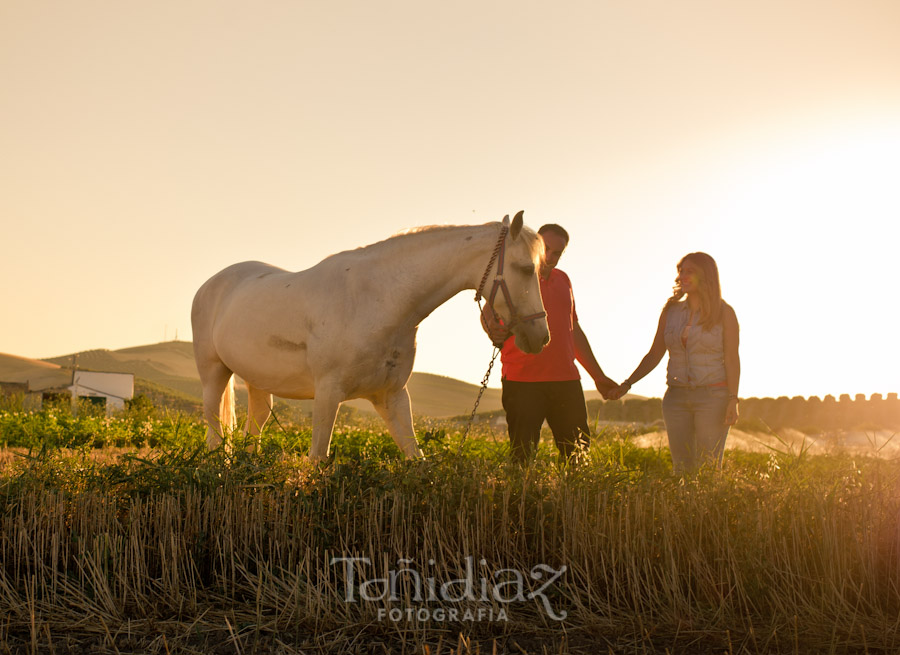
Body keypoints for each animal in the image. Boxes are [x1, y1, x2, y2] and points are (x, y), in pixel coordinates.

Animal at [192, 211, 548, 462]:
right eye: (526, 268)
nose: (540, 336)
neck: (379, 300)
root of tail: (211, 283)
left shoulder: (392, 396)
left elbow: (416, 458)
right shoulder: (328, 394)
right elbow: (317, 460)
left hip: (257, 382)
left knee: (255, 425)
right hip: (214, 374)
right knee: (214, 433)